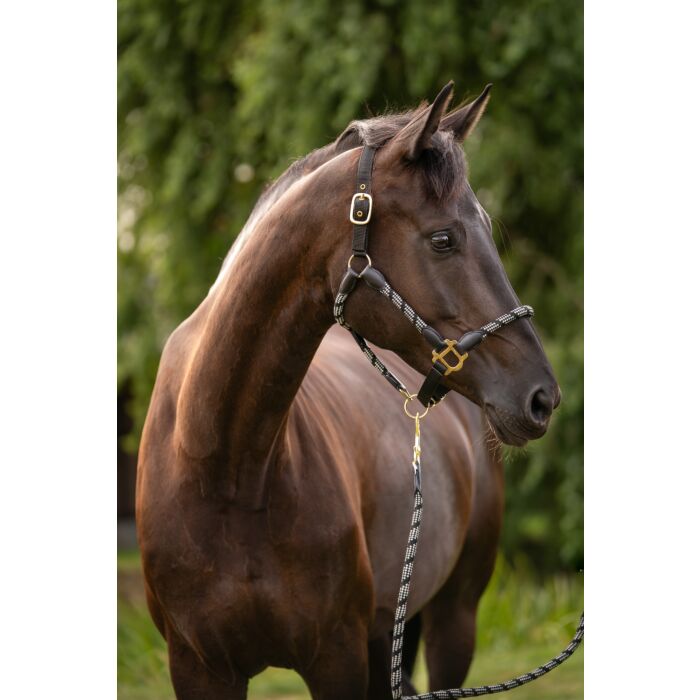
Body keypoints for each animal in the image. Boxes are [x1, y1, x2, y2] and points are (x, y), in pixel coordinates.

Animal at [136, 81, 560, 699]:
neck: (227, 467)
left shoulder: (337, 658)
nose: (541, 397)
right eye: (443, 239)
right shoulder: (197, 667)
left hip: (453, 619)